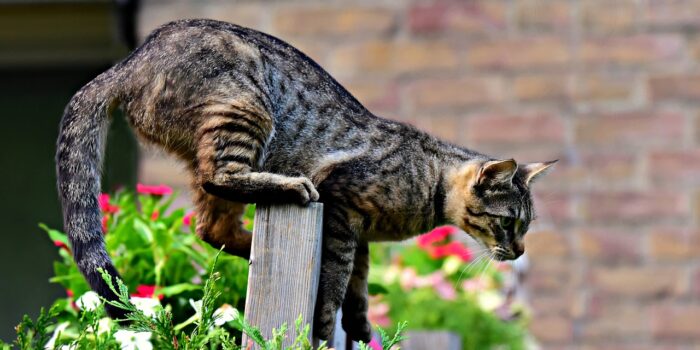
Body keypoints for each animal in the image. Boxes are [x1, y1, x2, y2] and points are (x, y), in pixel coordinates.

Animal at [56, 18, 552, 342]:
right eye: (508, 223)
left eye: (525, 227)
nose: (520, 251)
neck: (428, 182)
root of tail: (128, 62)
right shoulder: (342, 209)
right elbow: (335, 280)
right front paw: (326, 324)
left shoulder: (359, 234)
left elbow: (359, 284)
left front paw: (360, 325)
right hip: (244, 109)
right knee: (221, 179)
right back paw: (290, 188)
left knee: (211, 227)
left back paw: (252, 248)